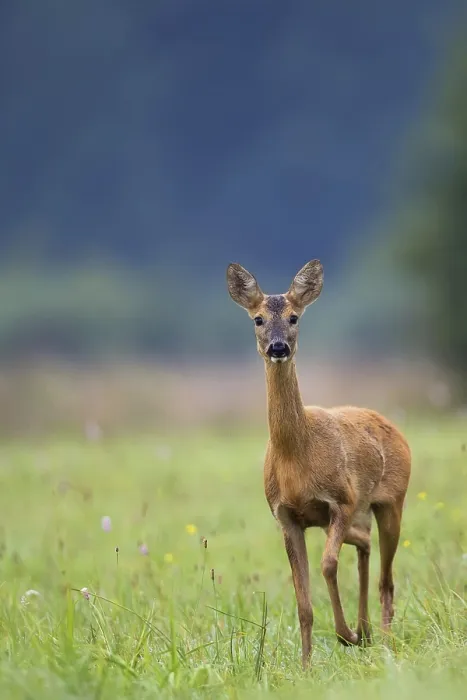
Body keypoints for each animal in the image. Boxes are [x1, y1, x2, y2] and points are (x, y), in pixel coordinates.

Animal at [226, 259, 411, 669]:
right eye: (258, 319)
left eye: (294, 317)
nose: (278, 347)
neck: (298, 459)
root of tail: (393, 427)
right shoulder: (286, 516)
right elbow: (303, 604)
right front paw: (307, 666)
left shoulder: (340, 501)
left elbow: (327, 564)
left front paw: (346, 636)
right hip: (357, 514)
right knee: (365, 544)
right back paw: (368, 632)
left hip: (392, 500)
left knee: (387, 578)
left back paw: (382, 640)